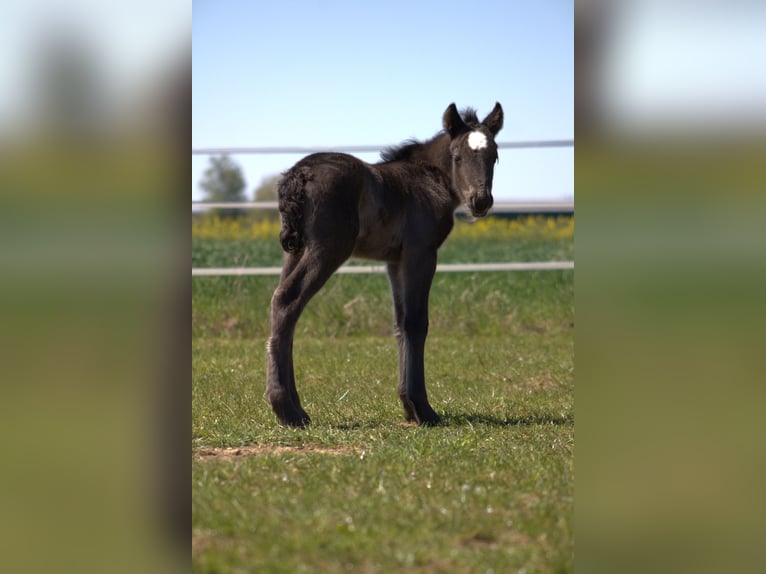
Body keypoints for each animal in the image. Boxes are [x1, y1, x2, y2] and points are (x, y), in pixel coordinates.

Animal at [266, 102, 504, 427]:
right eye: (457, 157)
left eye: (494, 156)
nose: (480, 200)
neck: (427, 180)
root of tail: (297, 175)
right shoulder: (421, 253)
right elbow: (416, 322)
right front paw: (424, 409)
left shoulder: (395, 261)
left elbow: (399, 322)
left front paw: (408, 407)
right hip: (328, 249)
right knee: (288, 301)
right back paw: (285, 410)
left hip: (295, 251)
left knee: (286, 307)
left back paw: (299, 409)